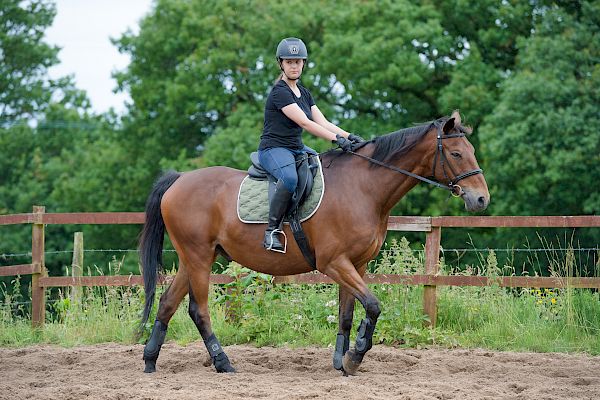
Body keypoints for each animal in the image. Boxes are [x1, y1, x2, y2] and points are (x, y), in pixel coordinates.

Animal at [139, 110, 488, 376]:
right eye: (456, 154)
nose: (481, 199)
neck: (363, 187)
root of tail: (180, 179)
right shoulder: (334, 263)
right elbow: (373, 306)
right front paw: (355, 356)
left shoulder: (356, 264)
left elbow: (347, 313)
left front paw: (341, 361)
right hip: (198, 257)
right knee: (198, 310)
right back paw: (223, 363)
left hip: (196, 257)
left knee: (168, 303)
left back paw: (150, 361)